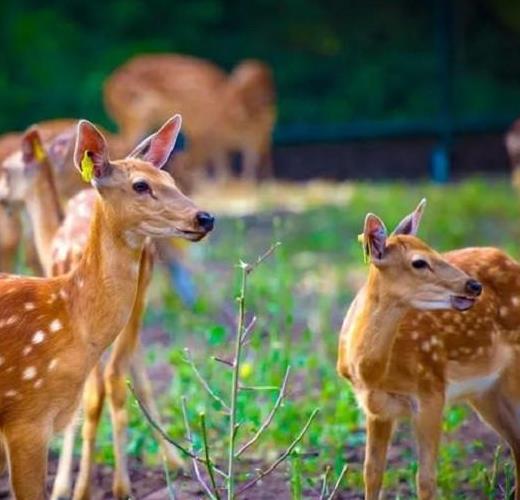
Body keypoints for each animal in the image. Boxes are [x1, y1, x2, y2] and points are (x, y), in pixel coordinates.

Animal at [0, 116, 213, 500]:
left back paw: (93, 486)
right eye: (141, 184)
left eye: (170, 180)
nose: (204, 217)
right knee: (118, 377)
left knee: (104, 385)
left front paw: (64, 485)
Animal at [336, 200, 520, 500]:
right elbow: (371, 474)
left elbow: (425, 480)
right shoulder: (376, 409)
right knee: (516, 441)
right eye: (419, 262)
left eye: (433, 249)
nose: (474, 285)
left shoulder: (431, 390)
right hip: (486, 391)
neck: (373, 372)